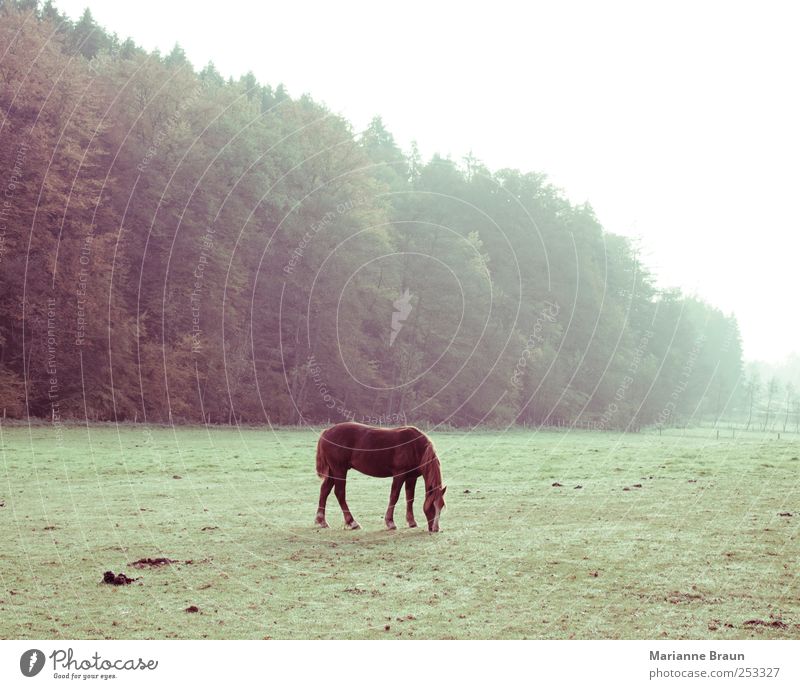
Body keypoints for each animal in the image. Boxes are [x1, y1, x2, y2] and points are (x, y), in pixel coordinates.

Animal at [316, 422, 446, 528]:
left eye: (441, 506)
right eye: (432, 506)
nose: (435, 529)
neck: (415, 446)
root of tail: (327, 431)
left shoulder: (411, 477)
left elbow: (410, 498)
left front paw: (411, 521)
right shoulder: (399, 475)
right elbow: (394, 496)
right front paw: (390, 522)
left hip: (333, 471)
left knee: (324, 490)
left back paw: (322, 520)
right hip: (339, 470)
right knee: (339, 493)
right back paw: (352, 522)